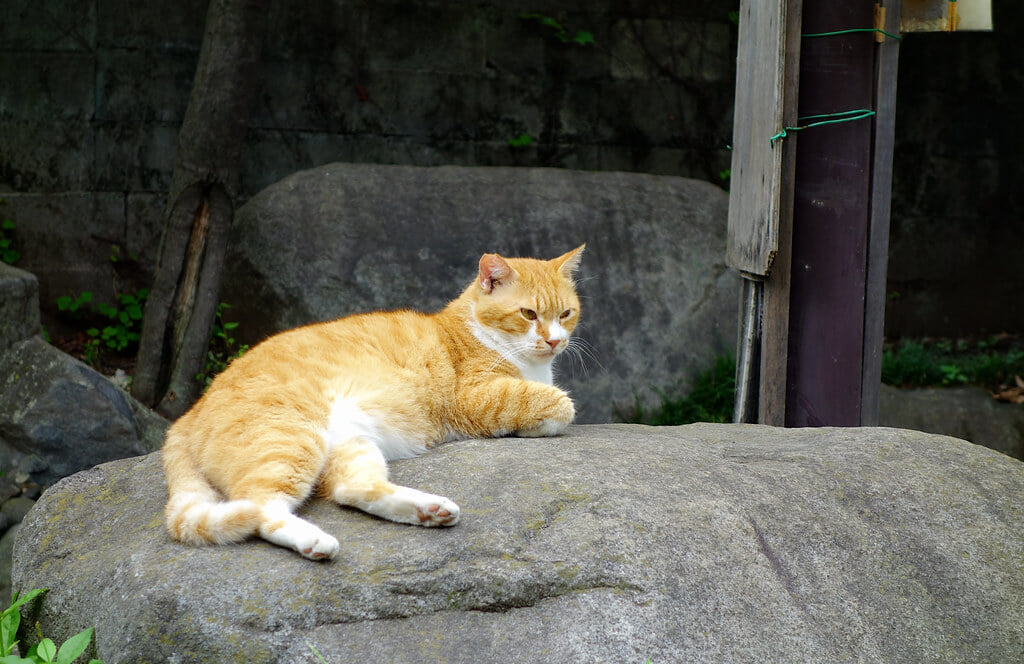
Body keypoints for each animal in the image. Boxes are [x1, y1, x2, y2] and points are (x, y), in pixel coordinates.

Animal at [164, 245, 589, 557]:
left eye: (566, 313)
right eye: (528, 313)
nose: (555, 340)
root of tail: (190, 411)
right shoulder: (471, 398)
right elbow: (559, 404)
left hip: (349, 441)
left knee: (351, 489)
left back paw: (428, 510)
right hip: (291, 438)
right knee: (261, 508)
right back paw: (314, 540)